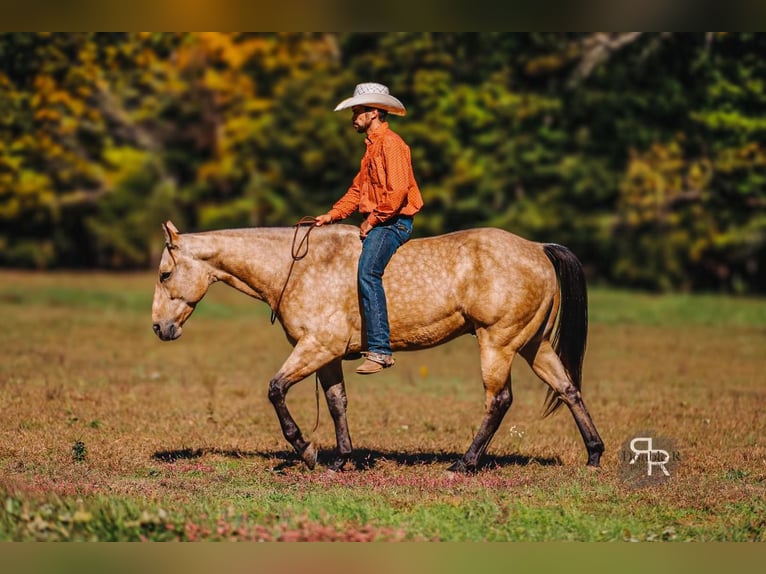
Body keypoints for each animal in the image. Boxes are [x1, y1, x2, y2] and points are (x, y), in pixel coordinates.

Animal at [151, 220, 604, 473]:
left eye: (164, 273)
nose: (159, 327)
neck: (298, 267)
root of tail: (538, 249)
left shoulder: (316, 347)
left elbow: (276, 390)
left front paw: (307, 451)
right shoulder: (327, 355)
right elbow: (337, 403)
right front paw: (342, 459)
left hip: (498, 343)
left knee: (499, 400)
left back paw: (465, 463)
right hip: (532, 345)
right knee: (568, 389)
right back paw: (594, 454)